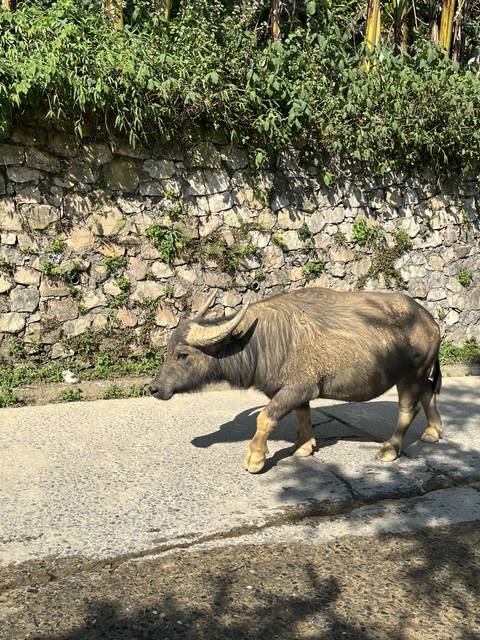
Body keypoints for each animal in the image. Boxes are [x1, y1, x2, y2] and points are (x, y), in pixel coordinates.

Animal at [150, 288, 442, 473]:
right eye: (167, 351)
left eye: (182, 354)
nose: (154, 388)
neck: (262, 340)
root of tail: (430, 321)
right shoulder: (295, 390)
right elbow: (302, 415)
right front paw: (304, 446)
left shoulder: (298, 387)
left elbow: (265, 418)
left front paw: (255, 458)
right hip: (419, 373)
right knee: (429, 391)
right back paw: (433, 431)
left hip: (411, 374)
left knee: (409, 407)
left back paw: (390, 449)